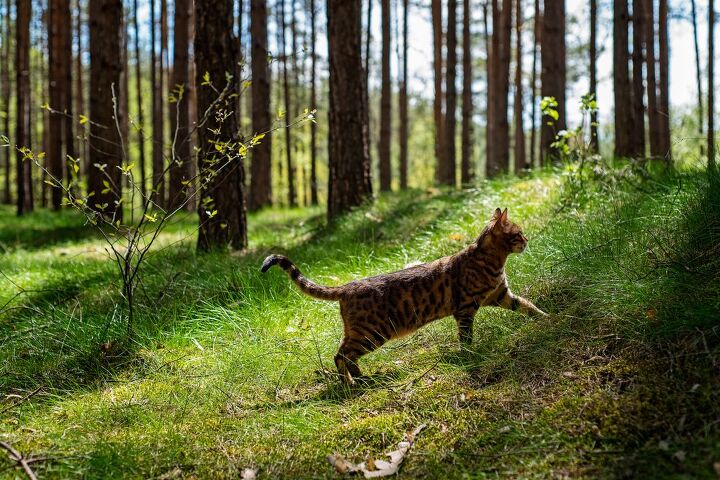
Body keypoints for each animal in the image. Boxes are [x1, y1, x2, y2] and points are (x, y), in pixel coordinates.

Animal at [262, 208, 548, 384]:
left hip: (363, 332)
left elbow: (529, 306)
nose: (527, 241)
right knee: (340, 355)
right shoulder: (465, 309)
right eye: (518, 233)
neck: (491, 260)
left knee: (344, 354)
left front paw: (549, 318)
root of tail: (347, 286)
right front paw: (470, 354)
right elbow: (466, 338)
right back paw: (350, 382)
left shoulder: (502, 295)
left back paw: (360, 377)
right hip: (373, 332)